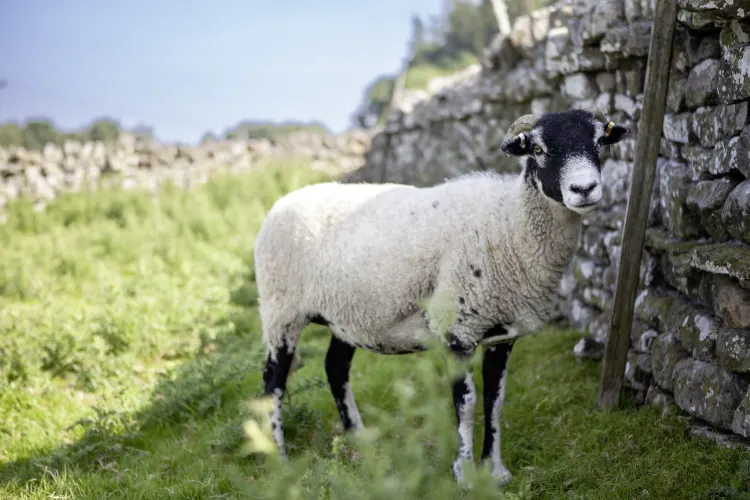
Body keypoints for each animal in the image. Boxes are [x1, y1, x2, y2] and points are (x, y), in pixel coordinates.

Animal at [254, 106, 628, 487]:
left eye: (599, 142)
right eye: (537, 149)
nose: (584, 189)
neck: (510, 224)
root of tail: (283, 201)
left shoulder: (503, 334)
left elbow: (495, 400)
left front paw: (496, 471)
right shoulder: (457, 329)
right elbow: (467, 403)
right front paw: (464, 474)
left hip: (348, 313)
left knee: (335, 367)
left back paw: (358, 436)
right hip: (280, 309)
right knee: (273, 382)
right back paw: (279, 458)